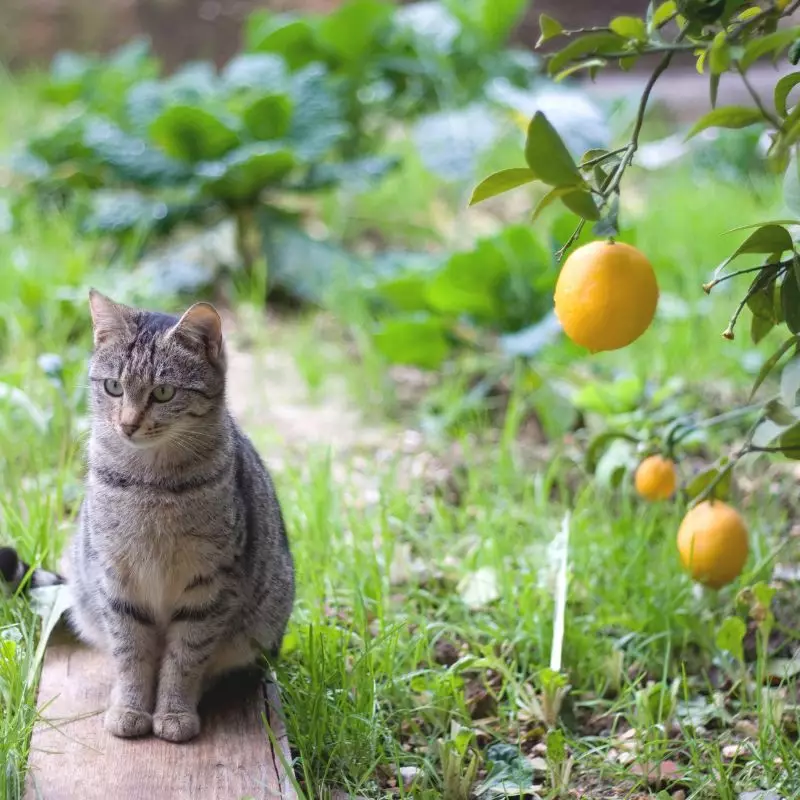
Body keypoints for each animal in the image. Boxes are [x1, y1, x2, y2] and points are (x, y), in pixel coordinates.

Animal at [0, 292, 296, 744]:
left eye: (163, 392)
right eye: (114, 386)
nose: (127, 424)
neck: (150, 485)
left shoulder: (207, 587)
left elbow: (185, 659)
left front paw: (173, 712)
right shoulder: (118, 579)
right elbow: (132, 655)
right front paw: (130, 708)